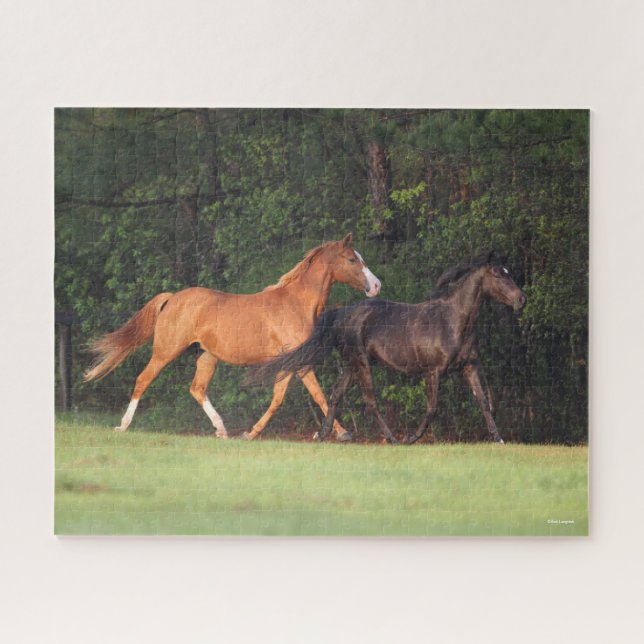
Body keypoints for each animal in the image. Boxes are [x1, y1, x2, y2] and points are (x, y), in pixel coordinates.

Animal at [84, 233, 381, 440]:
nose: (377, 285)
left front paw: (251, 432)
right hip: (165, 352)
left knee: (197, 388)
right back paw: (123, 426)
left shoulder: (291, 362)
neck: (296, 303)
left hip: (207, 356)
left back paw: (222, 429)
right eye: (352, 259)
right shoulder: (297, 362)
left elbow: (288, 397)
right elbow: (310, 396)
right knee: (143, 380)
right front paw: (341, 433)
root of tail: (172, 298)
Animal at [249, 252, 526, 445]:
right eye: (498, 275)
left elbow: (484, 401)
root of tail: (343, 313)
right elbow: (432, 408)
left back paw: (325, 434)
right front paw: (411, 438)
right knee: (370, 400)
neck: (451, 321)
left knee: (336, 394)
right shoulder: (433, 371)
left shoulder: (469, 366)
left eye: (509, 272)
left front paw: (499, 439)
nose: (521, 299)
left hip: (353, 364)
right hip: (361, 363)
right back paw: (391, 438)